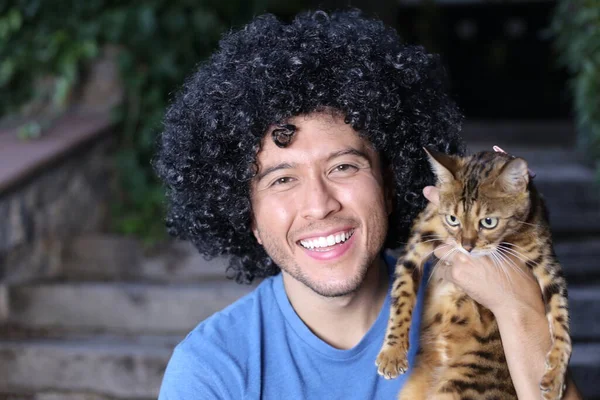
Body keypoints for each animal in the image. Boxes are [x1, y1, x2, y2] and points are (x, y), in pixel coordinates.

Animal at [378, 148, 568, 400]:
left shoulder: (547, 263)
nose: (467, 246)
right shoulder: (417, 243)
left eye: (488, 222)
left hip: (462, 381)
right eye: (453, 219)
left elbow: (561, 321)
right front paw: (393, 353)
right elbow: (401, 298)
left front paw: (556, 376)